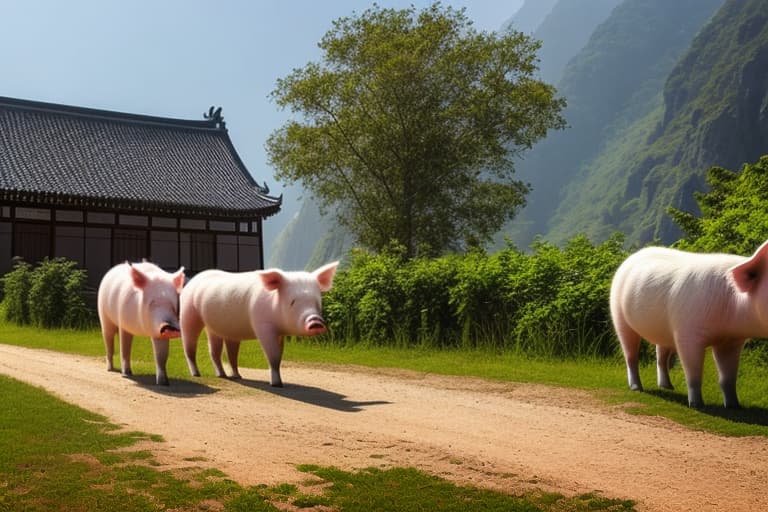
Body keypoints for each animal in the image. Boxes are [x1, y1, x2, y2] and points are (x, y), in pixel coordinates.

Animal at [180, 262, 340, 386]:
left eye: (317, 302)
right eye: (292, 301)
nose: (315, 321)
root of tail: (191, 281)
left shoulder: (280, 333)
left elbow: (279, 356)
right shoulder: (263, 325)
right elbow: (273, 356)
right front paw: (277, 384)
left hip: (219, 328)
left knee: (218, 352)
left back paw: (231, 376)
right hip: (188, 313)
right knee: (189, 346)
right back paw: (196, 374)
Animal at [612, 240, 768, 408]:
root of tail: (630, 258)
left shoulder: (732, 341)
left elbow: (728, 378)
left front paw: (734, 406)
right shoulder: (687, 333)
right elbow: (693, 373)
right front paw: (696, 405)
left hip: (665, 331)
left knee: (661, 355)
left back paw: (667, 387)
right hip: (618, 314)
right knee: (630, 354)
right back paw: (637, 388)